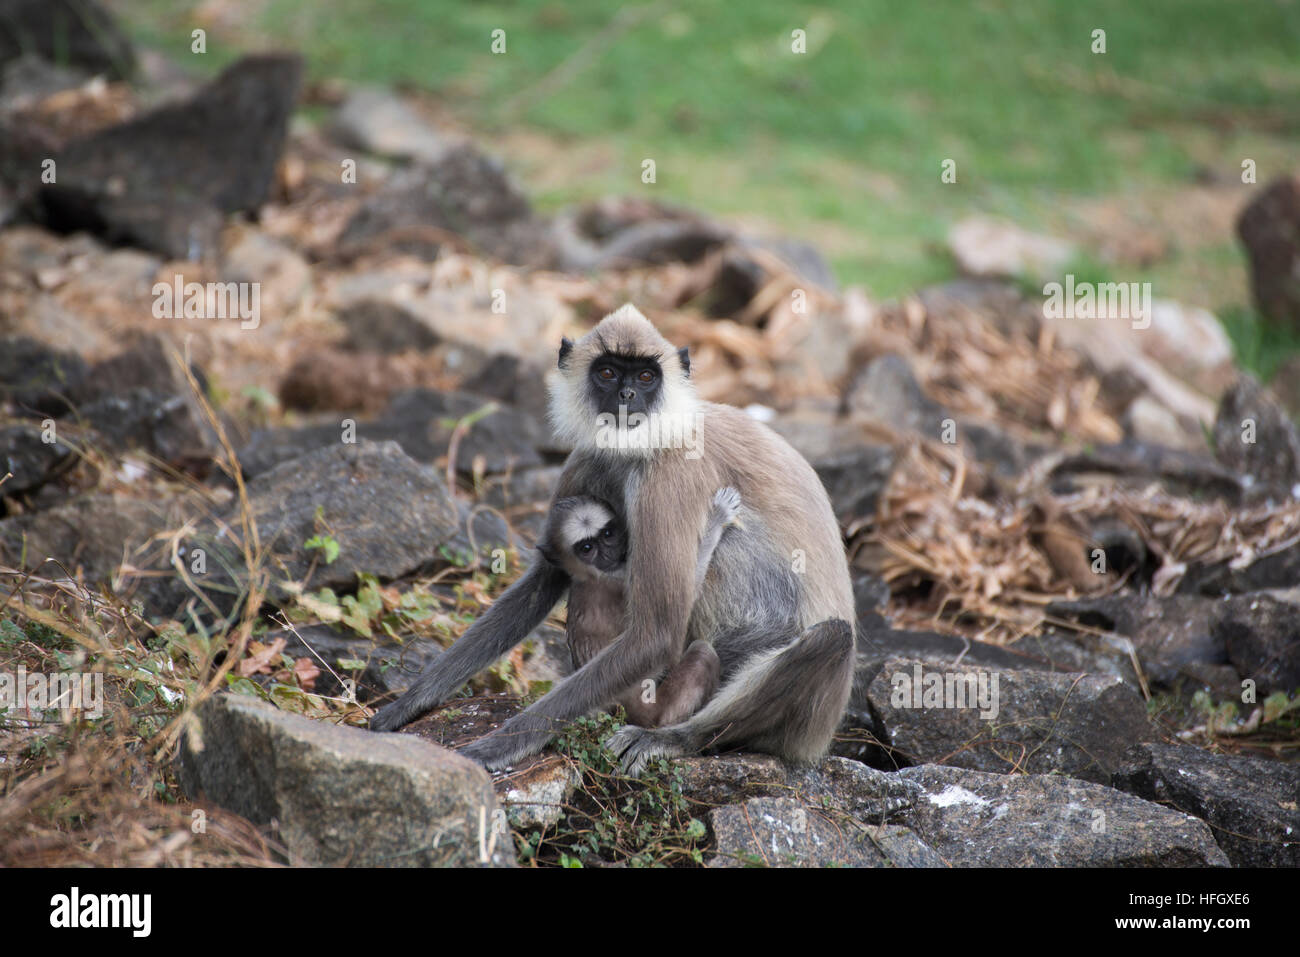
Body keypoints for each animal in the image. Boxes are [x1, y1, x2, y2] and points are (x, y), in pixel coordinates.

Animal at [538, 487, 742, 727]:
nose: (607, 554)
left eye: (607, 534)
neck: (591, 577)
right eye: (586, 548)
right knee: (703, 653)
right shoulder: (621, 579)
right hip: (654, 711)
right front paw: (718, 517)